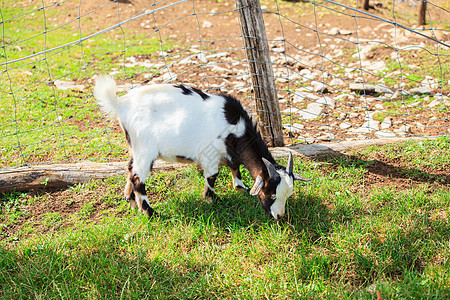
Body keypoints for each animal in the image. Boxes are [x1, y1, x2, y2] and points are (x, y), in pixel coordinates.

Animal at [92, 75, 310, 220]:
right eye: (270, 194)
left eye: (288, 194)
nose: (279, 216)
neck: (235, 128)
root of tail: (121, 106)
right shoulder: (211, 155)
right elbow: (212, 177)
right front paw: (212, 200)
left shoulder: (228, 153)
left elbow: (234, 166)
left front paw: (240, 187)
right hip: (145, 149)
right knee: (138, 178)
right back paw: (150, 211)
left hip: (135, 147)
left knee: (130, 169)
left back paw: (130, 200)